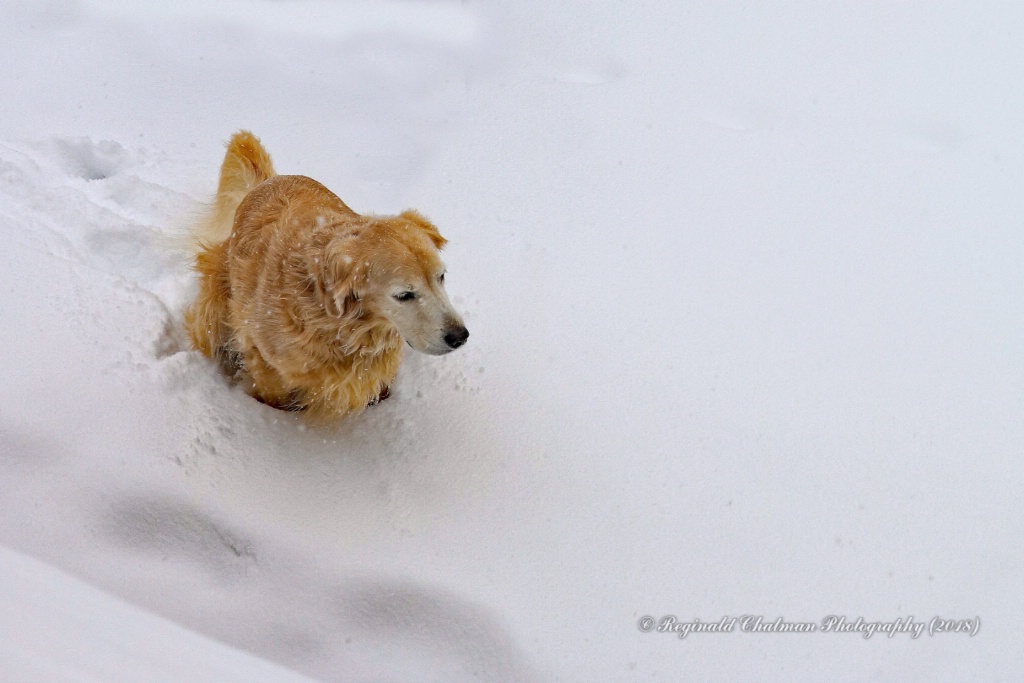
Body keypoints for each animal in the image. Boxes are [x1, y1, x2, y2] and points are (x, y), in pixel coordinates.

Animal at [186, 131, 468, 419]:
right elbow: (274, 394)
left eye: (441, 277)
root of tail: (267, 181)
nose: (460, 336)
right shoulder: (263, 356)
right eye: (404, 295)